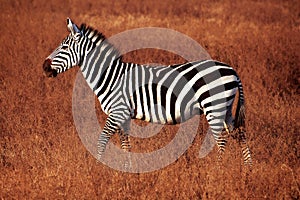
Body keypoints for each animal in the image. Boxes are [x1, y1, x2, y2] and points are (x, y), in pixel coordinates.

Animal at [43, 18, 252, 166]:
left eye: (64, 47)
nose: (44, 67)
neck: (111, 77)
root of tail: (232, 70)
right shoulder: (124, 116)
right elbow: (125, 145)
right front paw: (127, 171)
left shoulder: (117, 112)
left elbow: (102, 140)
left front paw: (98, 168)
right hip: (225, 108)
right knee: (239, 134)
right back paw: (247, 170)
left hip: (213, 107)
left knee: (222, 140)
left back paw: (217, 170)